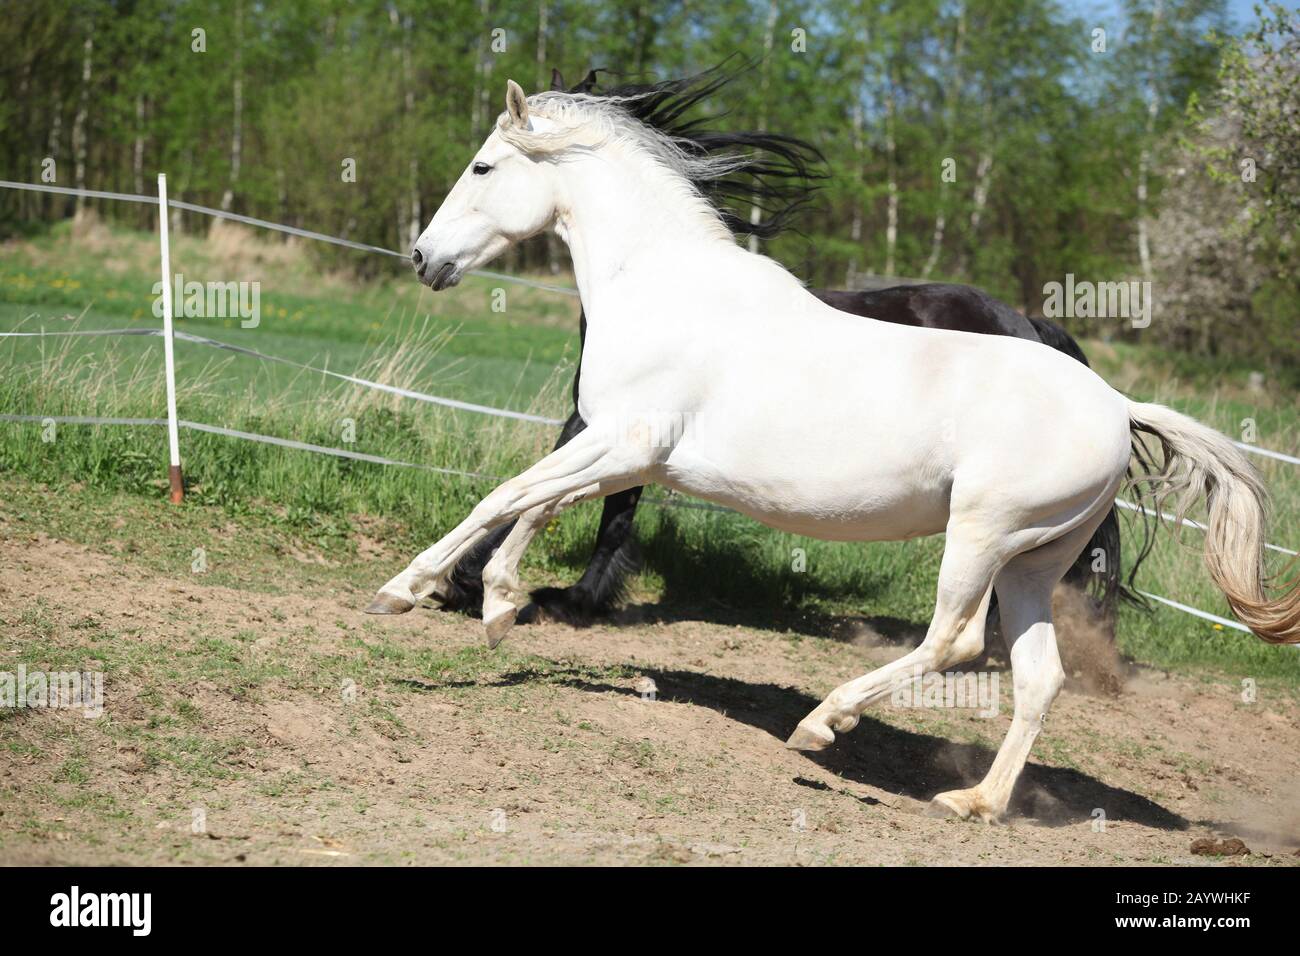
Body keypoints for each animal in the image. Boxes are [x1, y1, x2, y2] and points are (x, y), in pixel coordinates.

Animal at [437, 68, 1133, 634]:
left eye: (482, 167)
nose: (425, 256)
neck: (663, 284)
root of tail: (1034, 326)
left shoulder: (619, 429)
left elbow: (577, 504)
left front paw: (531, 594)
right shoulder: (607, 429)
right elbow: (565, 499)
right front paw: (502, 587)